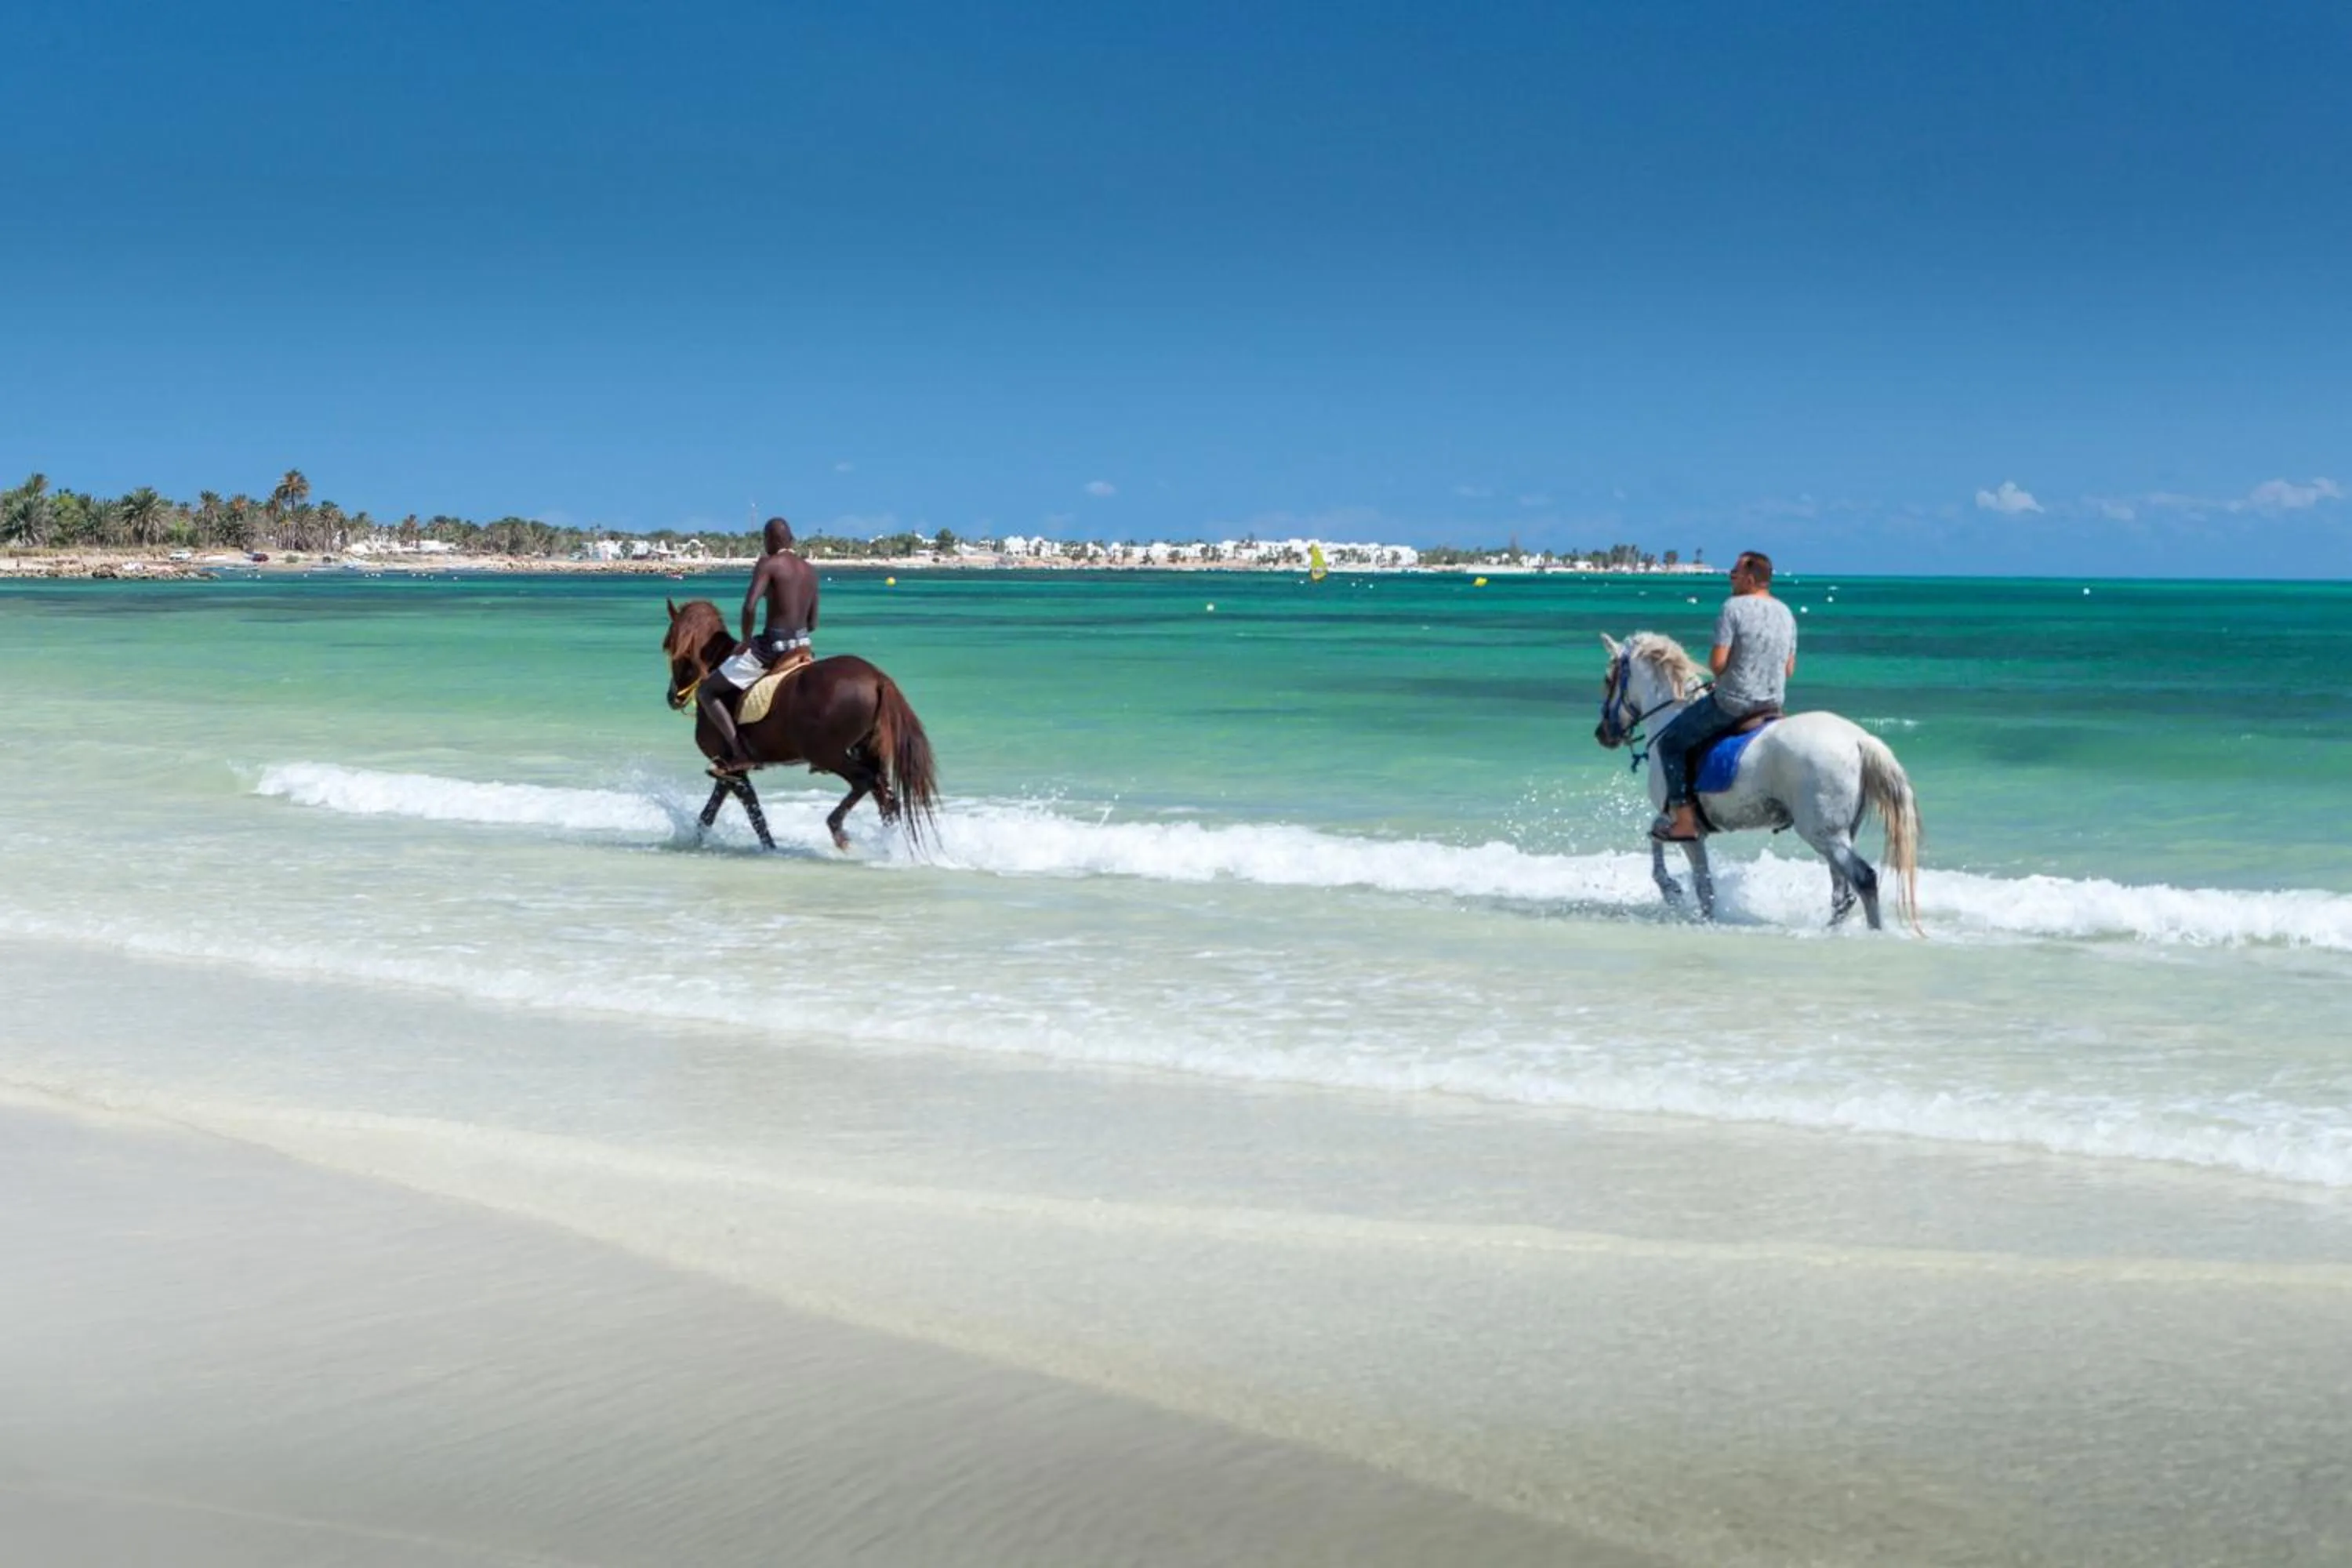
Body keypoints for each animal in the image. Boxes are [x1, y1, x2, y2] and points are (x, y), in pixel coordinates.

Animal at [661, 598, 939, 853]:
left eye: (671, 647)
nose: (673, 697)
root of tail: (878, 678)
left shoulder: (731, 768)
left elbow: (751, 812)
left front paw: (769, 849)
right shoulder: (728, 770)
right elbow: (714, 813)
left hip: (827, 754)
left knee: (864, 782)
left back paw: (838, 829)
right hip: (865, 750)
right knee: (885, 795)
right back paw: (891, 847)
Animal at [1594, 631, 1922, 931]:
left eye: (1608, 679)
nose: (1603, 734)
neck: (1669, 719)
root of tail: (1858, 739)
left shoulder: (1685, 828)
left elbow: (1690, 872)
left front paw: (1674, 892)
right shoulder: (1685, 824)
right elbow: (1673, 853)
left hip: (1824, 834)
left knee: (1863, 879)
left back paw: (1872, 932)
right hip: (1839, 835)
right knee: (1842, 892)